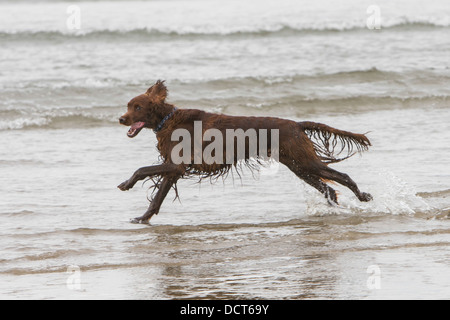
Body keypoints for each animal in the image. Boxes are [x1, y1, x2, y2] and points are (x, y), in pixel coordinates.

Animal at [118, 80, 372, 224]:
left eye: (138, 107)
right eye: (128, 106)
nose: (120, 119)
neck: (169, 120)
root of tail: (297, 124)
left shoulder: (175, 165)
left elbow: (141, 169)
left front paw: (126, 184)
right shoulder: (173, 169)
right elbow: (157, 198)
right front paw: (142, 218)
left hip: (305, 162)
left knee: (342, 177)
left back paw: (362, 196)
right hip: (298, 166)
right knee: (329, 189)